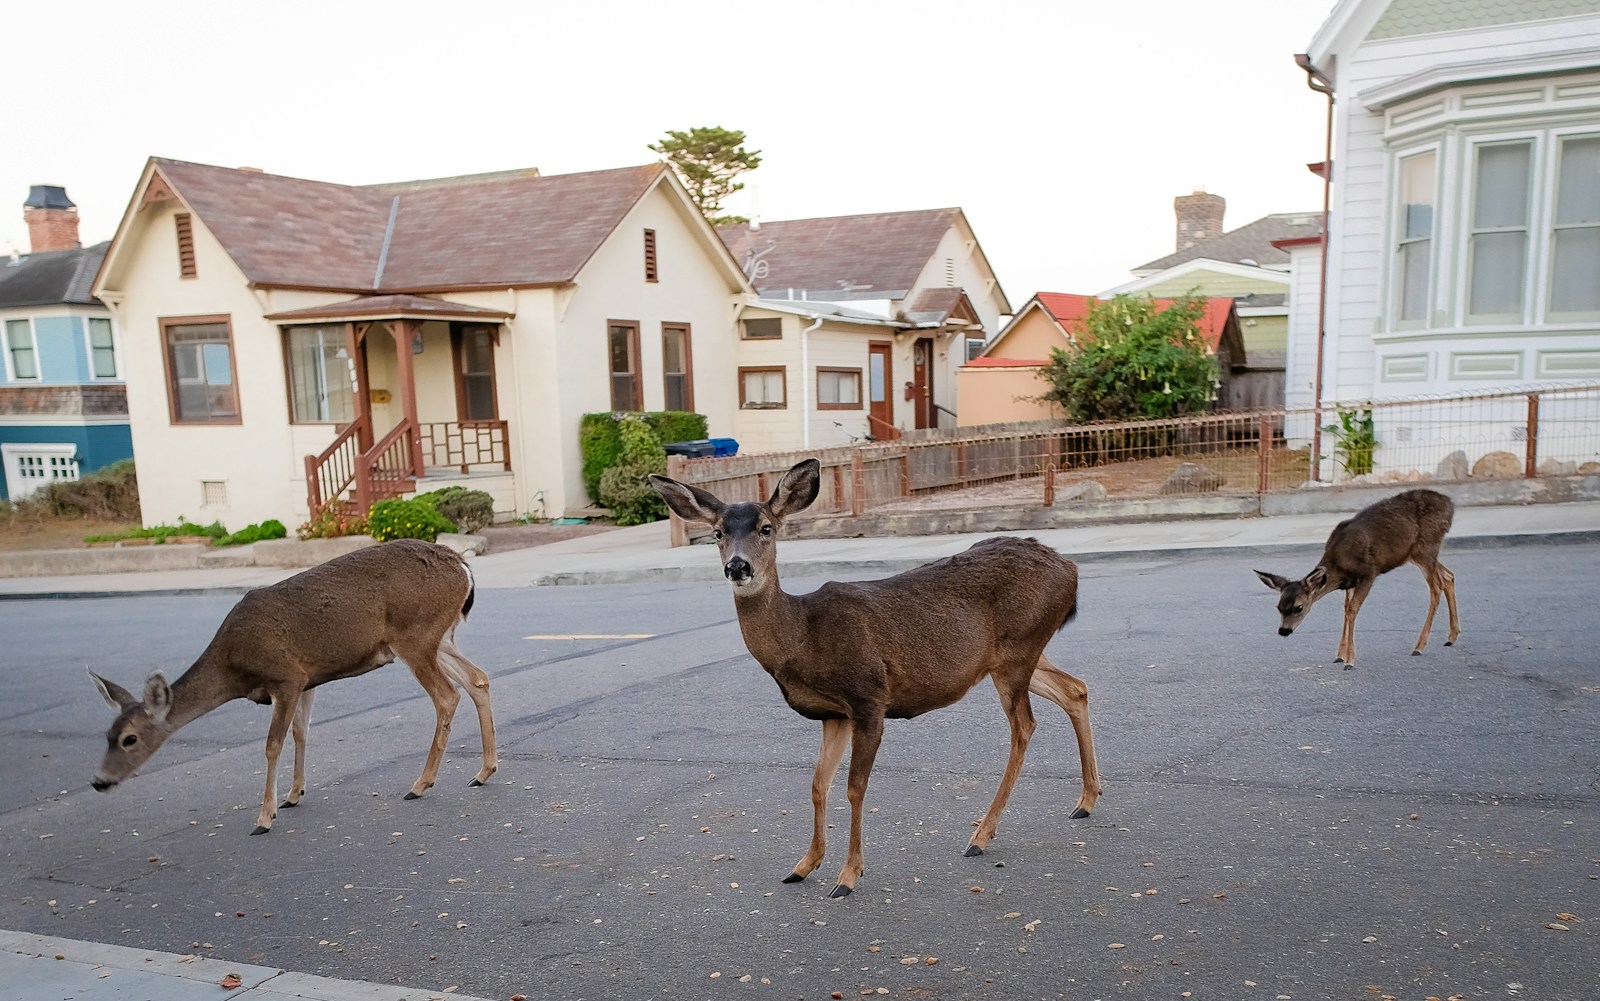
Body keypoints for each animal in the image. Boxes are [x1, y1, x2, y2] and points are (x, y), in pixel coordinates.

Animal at [88, 538, 498, 834]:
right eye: (106, 735)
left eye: (129, 739)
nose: (98, 781)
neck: (233, 665)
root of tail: (463, 567)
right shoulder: (309, 678)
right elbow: (302, 732)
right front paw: (293, 794)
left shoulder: (286, 676)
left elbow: (273, 744)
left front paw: (264, 817)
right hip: (439, 636)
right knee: (478, 678)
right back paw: (483, 772)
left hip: (415, 635)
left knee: (447, 695)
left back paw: (421, 783)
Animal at [649, 458, 1101, 898]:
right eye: (717, 533)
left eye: (766, 528)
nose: (738, 566)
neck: (803, 637)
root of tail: (1070, 569)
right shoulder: (833, 714)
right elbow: (817, 784)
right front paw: (803, 865)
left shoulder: (869, 697)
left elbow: (855, 786)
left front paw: (848, 876)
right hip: (1010, 657)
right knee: (1075, 688)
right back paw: (1086, 800)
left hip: (1019, 649)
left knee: (1024, 725)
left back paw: (981, 835)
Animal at [1255, 488, 1461, 669]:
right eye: (1278, 607)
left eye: (1299, 607)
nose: (1284, 630)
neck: (1338, 562)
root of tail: (1450, 505)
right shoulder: (1350, 584)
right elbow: (1346, 609)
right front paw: (1339, 655)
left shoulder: (1368, 573)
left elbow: (1352, 610)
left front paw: (1349, 661)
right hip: (1416, 554)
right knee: (1448, 576)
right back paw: (1451, 637)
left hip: (1426, 547)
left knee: (1436, 586)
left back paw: (1419, 646)